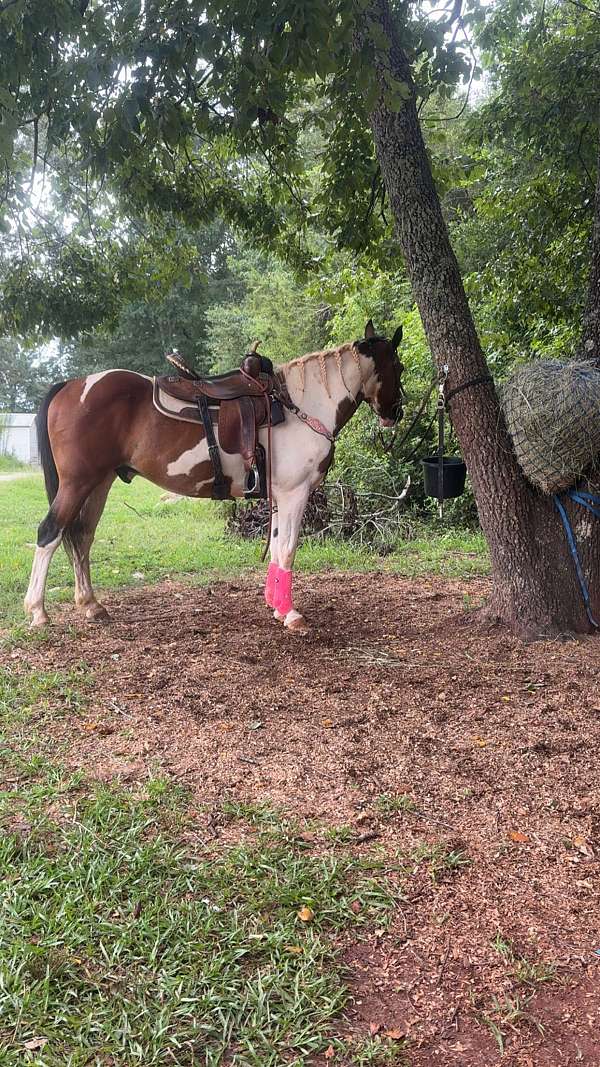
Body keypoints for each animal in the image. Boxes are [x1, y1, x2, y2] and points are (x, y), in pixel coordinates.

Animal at [24, 319, 404, 632]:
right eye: (398, 367)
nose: (395, 413)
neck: (301, 404)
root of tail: (71, 386)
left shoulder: (278, 495)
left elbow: (276, 546)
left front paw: (276, 606)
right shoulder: (294, 493)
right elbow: (287, 550)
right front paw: (291, 615)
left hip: (99, 484)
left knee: (81, 536)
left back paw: (91, 605)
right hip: (77, 483)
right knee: (50, 533)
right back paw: (38, 611)